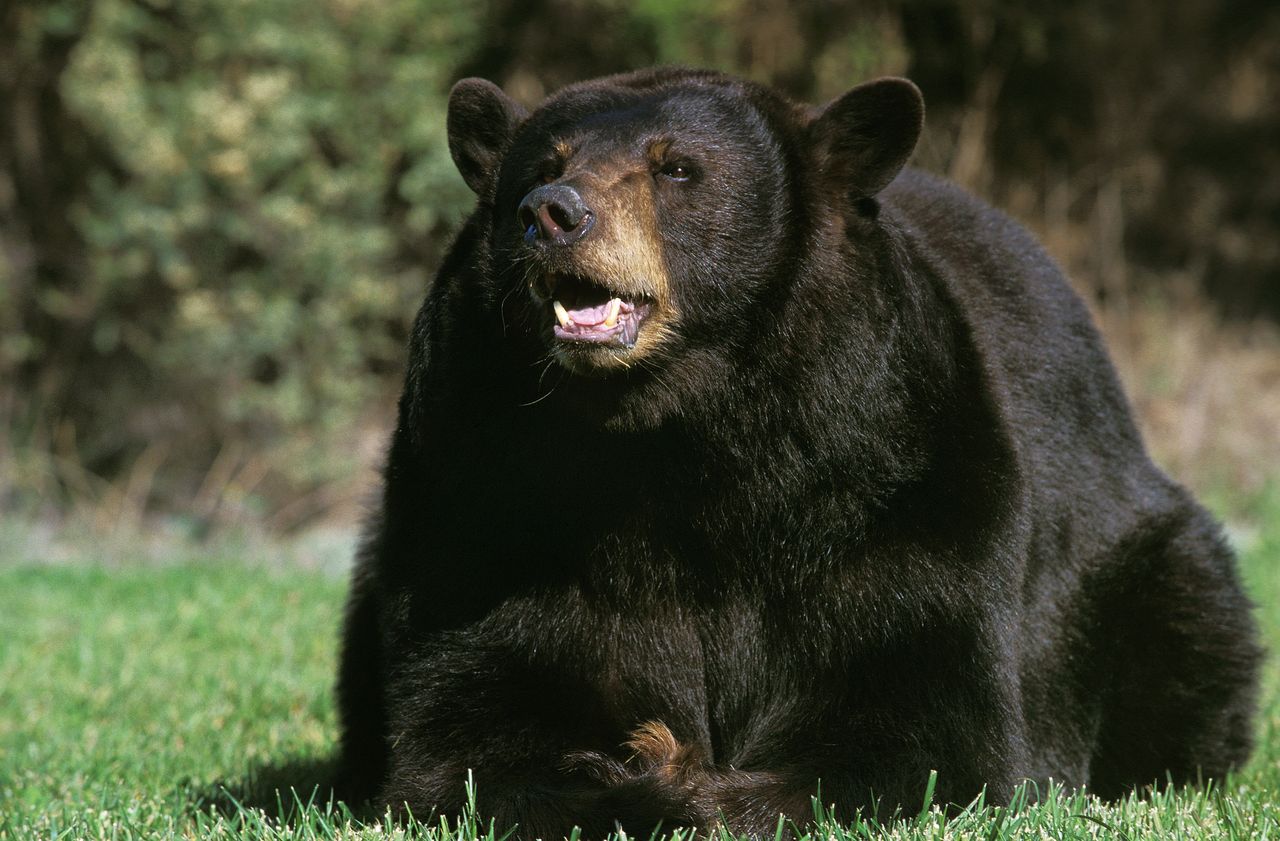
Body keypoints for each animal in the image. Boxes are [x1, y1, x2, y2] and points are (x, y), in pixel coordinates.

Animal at [330, 68, 1259, 834]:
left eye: (676, 168)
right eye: (541, 164)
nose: (551, 213)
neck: (675, 435)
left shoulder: (888, 476)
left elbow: (926, 730)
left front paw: (706, 789)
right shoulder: (483, 491)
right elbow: (469, 725)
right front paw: (633, 776)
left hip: (1141, 561)